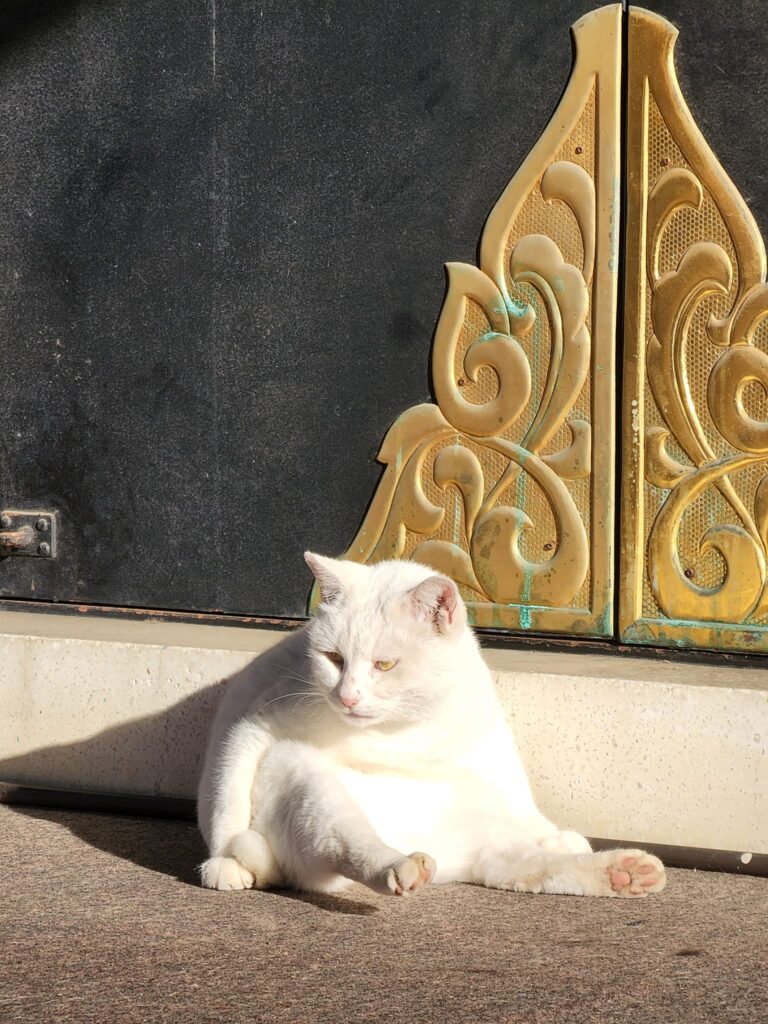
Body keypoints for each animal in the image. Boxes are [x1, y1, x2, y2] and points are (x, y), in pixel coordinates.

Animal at [198, 557, 667, 901]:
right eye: (333, 658)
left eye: (385, 664)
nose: (346, 697)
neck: (407, 731)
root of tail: (445, 854)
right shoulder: (257, 725)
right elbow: (228, 793)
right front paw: (221, 862)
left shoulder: (489, 750)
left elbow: (523, 803)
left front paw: (555, 837)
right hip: (306, 781)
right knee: (349, 844)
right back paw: (400, 867)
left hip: (487, 832)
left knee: (529, 867)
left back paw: (624, 872)